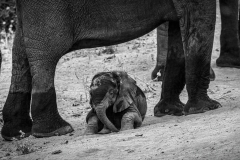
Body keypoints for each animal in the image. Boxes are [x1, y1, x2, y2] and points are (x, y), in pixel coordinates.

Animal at [1, 0, 219, 140]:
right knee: (46, 54)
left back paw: (17, 134)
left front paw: (170, 112)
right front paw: (206, 108)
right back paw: (57, 131)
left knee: (21, 51)